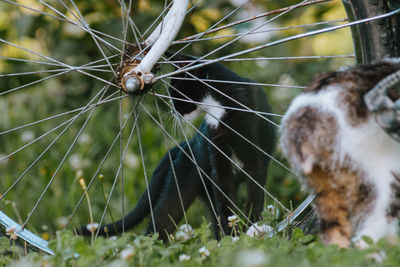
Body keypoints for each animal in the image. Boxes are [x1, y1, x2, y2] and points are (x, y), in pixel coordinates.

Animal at [79, 52, 276, 241]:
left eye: (174, 90)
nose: (172, 110)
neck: (218, 109)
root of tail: (184, 145)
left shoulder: (257, 160)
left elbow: (254, 197)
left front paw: (253, 228)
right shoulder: (219, 165)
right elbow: (226, 204)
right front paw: (234, 237)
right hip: (185, 181)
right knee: (161, 221)